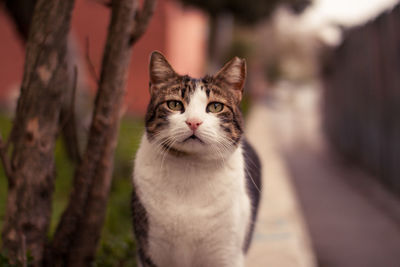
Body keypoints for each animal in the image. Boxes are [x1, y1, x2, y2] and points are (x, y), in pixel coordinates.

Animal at [132, 51, 262, 267]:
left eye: (216, 106)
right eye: (174, 104)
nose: (194, 122)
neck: (190, 168)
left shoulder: (227, 255)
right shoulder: (150, 252)